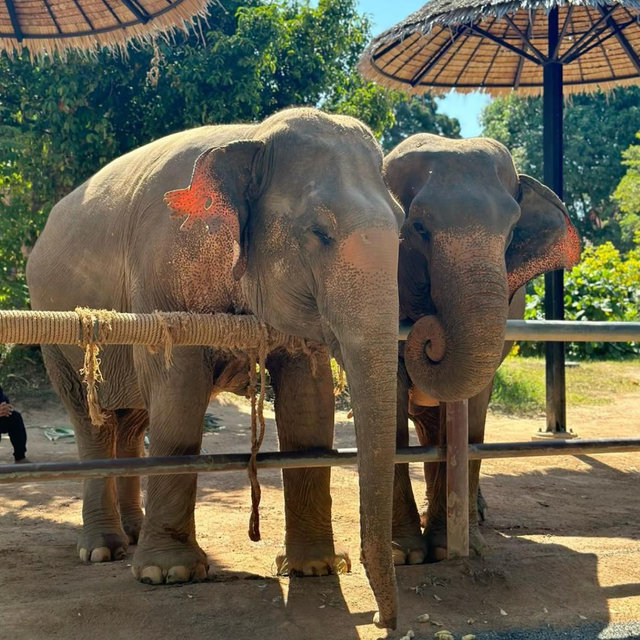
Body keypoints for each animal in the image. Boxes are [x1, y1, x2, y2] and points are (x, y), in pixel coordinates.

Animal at [26, 107, 403, 629]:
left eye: (404, 226)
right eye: (319, 233)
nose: (384, 622)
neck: (253, 136)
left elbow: (309, 399)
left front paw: (315, 567)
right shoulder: (162, 270)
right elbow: (178, 390)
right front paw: (168, 573)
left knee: (132, 420)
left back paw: (133, 531)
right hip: (53, 334)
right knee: (92, 420)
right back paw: (103, 550)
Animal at [383, 133, 581, 564]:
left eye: (510, 231)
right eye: (417, 227)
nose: (430, 332)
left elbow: (474, 408)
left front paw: (454, 547)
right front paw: (404, 555)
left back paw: (470, 517)